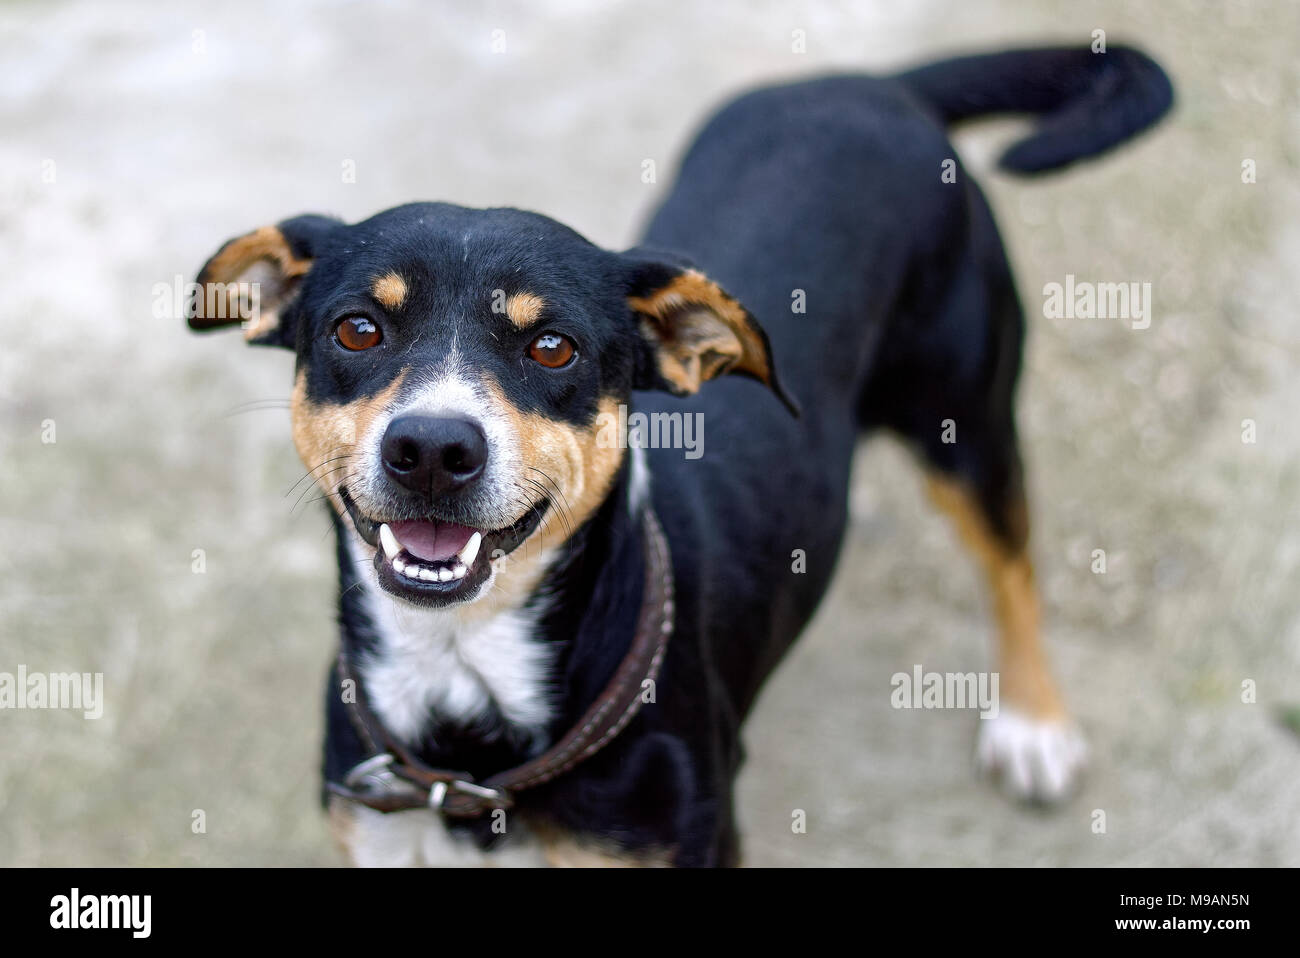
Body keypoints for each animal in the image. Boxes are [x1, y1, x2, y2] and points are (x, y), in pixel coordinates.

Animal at [188, 44, 1175, 868]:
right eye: (358, 329)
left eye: (553, 348)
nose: (432, 448)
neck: (464, 688)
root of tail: (874, 86)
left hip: (964, 417)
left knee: (1012, 564)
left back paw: (1033, 725)